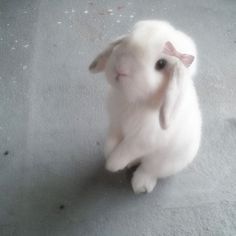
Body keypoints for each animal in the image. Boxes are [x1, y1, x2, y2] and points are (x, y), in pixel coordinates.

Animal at [89, 20, 202, 194]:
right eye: (125, 41)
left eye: (161, 64)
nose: (121, 68)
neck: (134, 102)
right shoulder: (115, 125)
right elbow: (112, 141)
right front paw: (108, 153)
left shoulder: (142, 140)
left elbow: (124, 151)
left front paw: (112, 165)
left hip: (162, 163)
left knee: (148, 169)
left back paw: (141, 185)